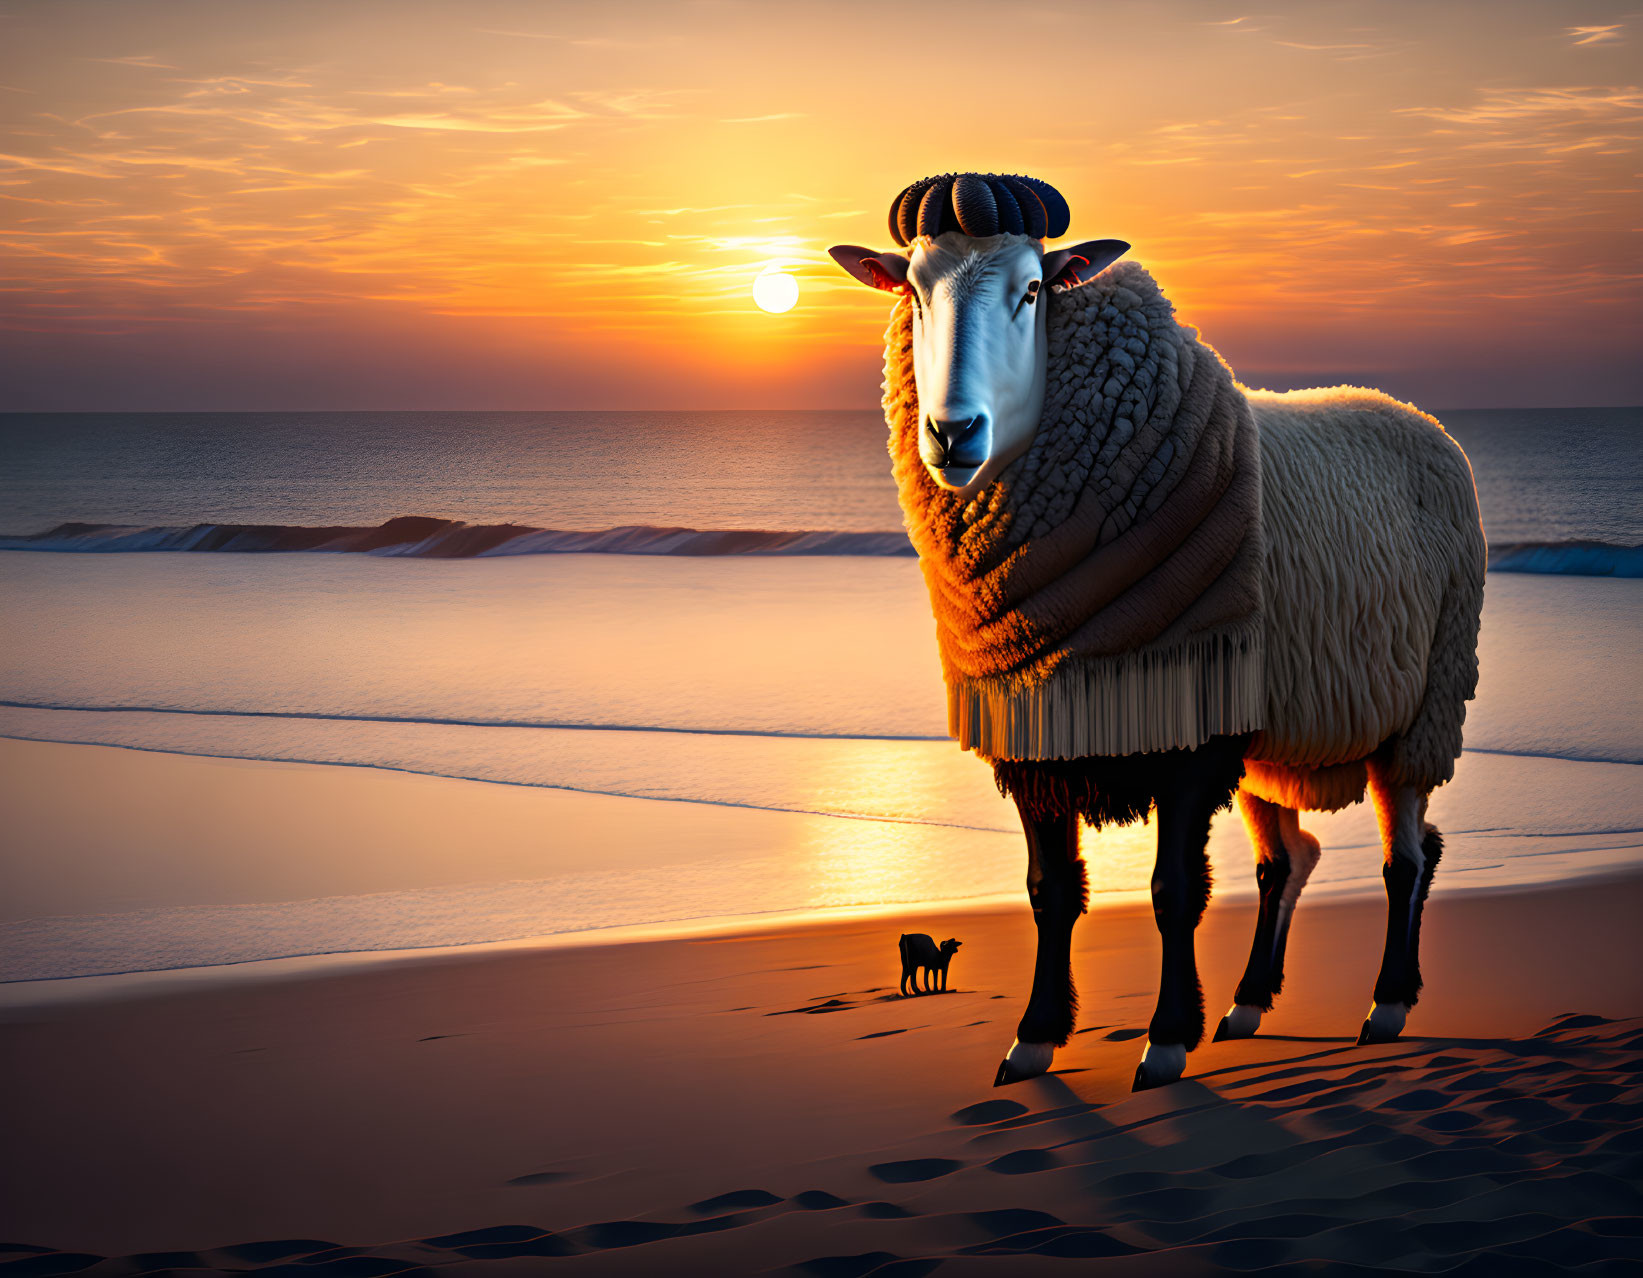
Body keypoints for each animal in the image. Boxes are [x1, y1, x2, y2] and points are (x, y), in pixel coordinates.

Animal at [834, 169, 1491, 1084]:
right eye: (914, 292)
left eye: (1033, 290)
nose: (952, 432)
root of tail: (1414, 416)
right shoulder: (1038, 730)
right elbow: (1050, 892)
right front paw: (1033, 1039)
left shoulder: (1186, 719)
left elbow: (1171, 891)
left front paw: (1166, 1039)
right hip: (1271, 738)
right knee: (1287, 861)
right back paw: (1249, 1004)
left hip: (1420, 706)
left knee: (1407, 856)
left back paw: (1386, 1004)